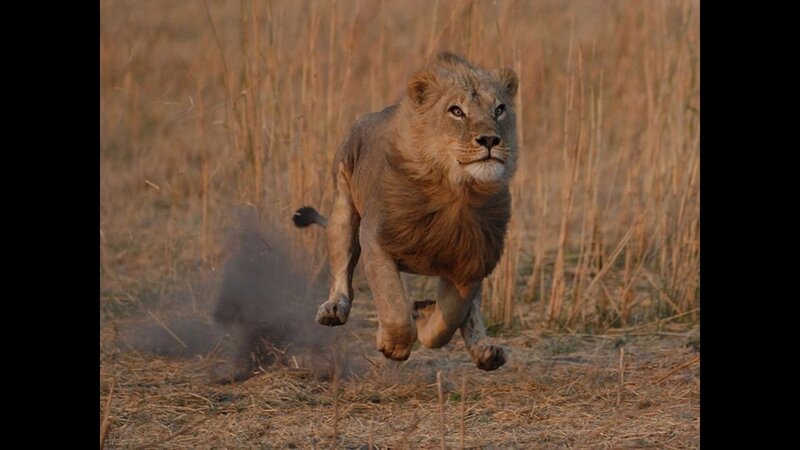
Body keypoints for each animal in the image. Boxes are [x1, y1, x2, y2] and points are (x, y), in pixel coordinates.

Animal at [294, 52, 519, 371]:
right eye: (456, 111)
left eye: (499, 109)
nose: (490, 140)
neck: (456, 192)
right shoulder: (376, 239)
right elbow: (393, 303)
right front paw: (394, 345)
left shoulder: (472, 257)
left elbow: (451, 316)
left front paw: (424, 315)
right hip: (343, 209)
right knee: (341, 268)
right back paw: (334, 308)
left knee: (471, 311)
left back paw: (486, 351)